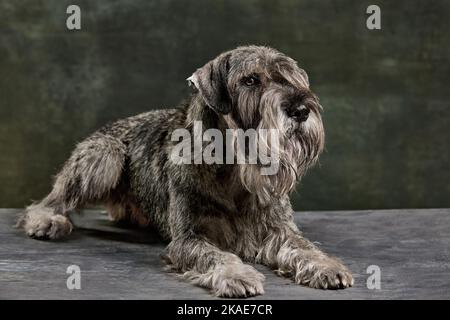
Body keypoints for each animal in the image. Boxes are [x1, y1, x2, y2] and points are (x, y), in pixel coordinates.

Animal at [17, 45, 354, 298]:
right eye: (250, 80)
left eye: (291, 78)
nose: (301, 110)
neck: (233, 171)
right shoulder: (190, 239)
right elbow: (217, 255)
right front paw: (237, 275)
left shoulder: (280, 230)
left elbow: (304, 247)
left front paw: (327, 266)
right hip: (105, 155)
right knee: (47, 201)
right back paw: (46, 221)